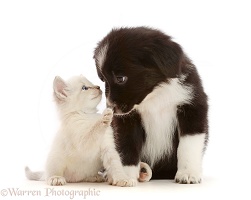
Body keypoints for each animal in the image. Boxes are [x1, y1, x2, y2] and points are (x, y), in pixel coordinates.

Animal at [93, 27, 208, 184]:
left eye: (120, 78)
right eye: (103, 79)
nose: (111, 108)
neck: (155, 95)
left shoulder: (192, 107)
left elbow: (189, 144)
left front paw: (188, 173)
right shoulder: (127, 120)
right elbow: (127, 145)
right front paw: (125, 176)